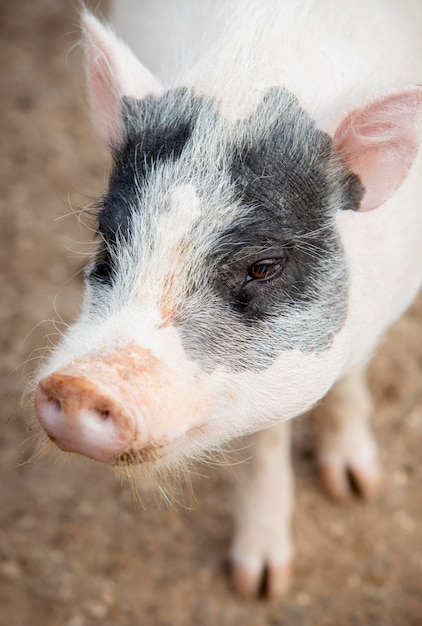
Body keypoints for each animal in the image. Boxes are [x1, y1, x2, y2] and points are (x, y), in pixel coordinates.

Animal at [34, 0, 422, 596]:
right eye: (106, 237)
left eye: (264, 267)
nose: (79, 384)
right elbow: (263, 443)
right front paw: (259, 585)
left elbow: (349, 379)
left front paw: (357, 488)